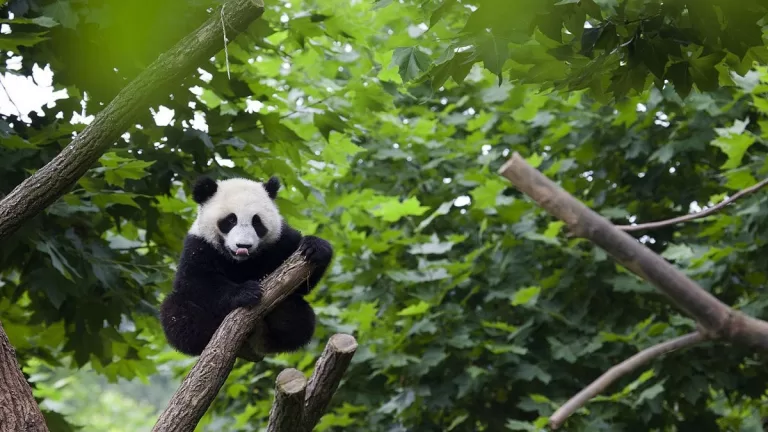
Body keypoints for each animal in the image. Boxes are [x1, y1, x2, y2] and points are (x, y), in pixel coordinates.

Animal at [159, 175, 333, 361]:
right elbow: (195, 281)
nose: (243, 245)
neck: (241, 261)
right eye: (230, 220)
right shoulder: (199, 245)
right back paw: (205, 334)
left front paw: (315, 248)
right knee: (177, 312)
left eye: (257, 222)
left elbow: (301, 285)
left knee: (299, 317)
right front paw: (246, 292)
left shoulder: (280, 241)